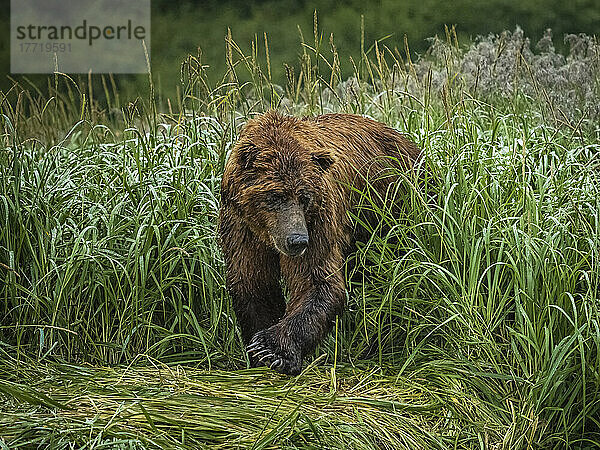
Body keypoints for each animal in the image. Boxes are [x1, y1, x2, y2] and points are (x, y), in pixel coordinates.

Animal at [218, 110, 420, 374]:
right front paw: (258, 352)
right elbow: (253, 282)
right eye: (275, 196)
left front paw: (273, 349)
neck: (266, 233)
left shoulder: (319, 220)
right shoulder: (241, 225)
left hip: (394, 204)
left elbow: (316, 280)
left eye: (304, 197)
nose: (297, 240)